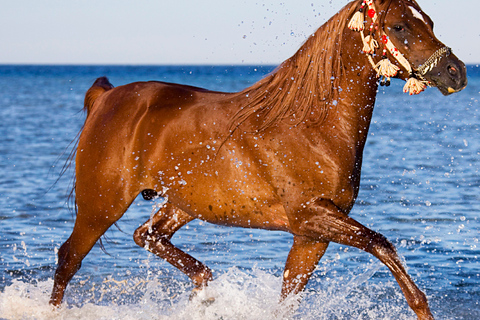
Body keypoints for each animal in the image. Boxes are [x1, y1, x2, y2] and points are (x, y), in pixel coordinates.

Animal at [50, 0, 466, 318]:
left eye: (429, 21)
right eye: (399, 26)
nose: (456, 72)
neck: (312, 125)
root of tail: (106, 96)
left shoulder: (311, 235)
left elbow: (289, 297)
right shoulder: (311, 216)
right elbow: (383, 245)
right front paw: (422, 308)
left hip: (183, 203)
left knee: (148, 236)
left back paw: (206, 289)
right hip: (102, 204)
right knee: (69, 258)